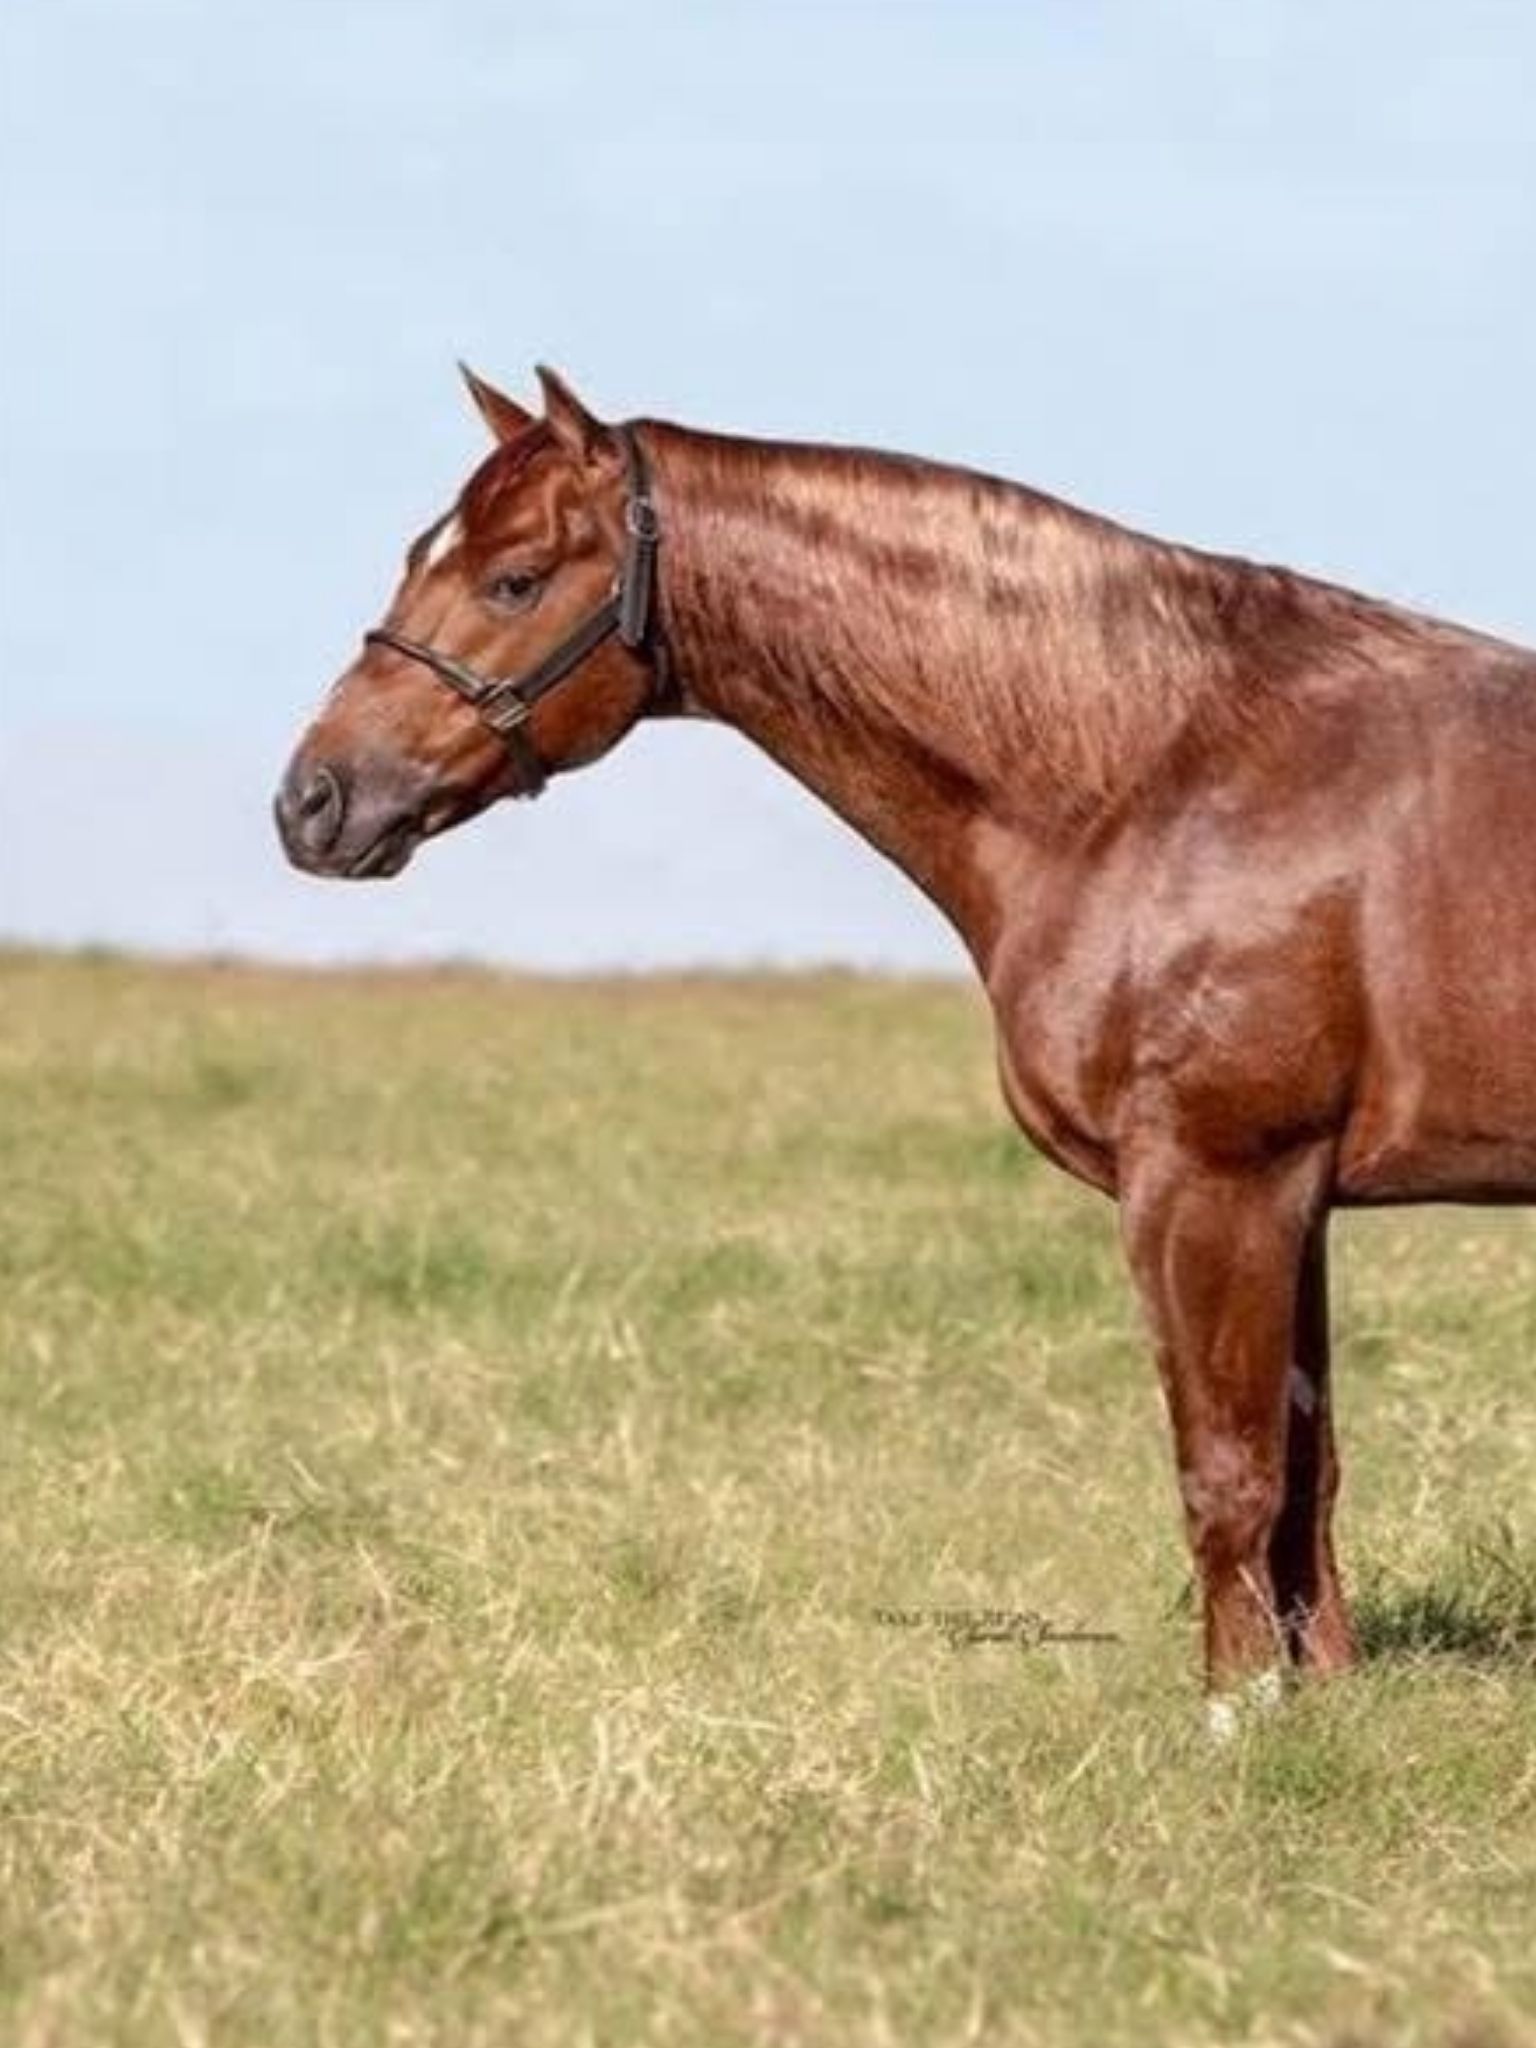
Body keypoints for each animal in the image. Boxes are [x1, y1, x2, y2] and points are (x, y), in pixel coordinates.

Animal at [276, 364, 1536, 1726]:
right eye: (421, 553)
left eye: (514, 578)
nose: (313, 800)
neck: (1153, 774)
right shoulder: (1288, 1194)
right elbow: (1307, 1463)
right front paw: (1315, 1702)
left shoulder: (1216, 1179)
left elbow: (1230, 1465)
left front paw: (1233, 1716)